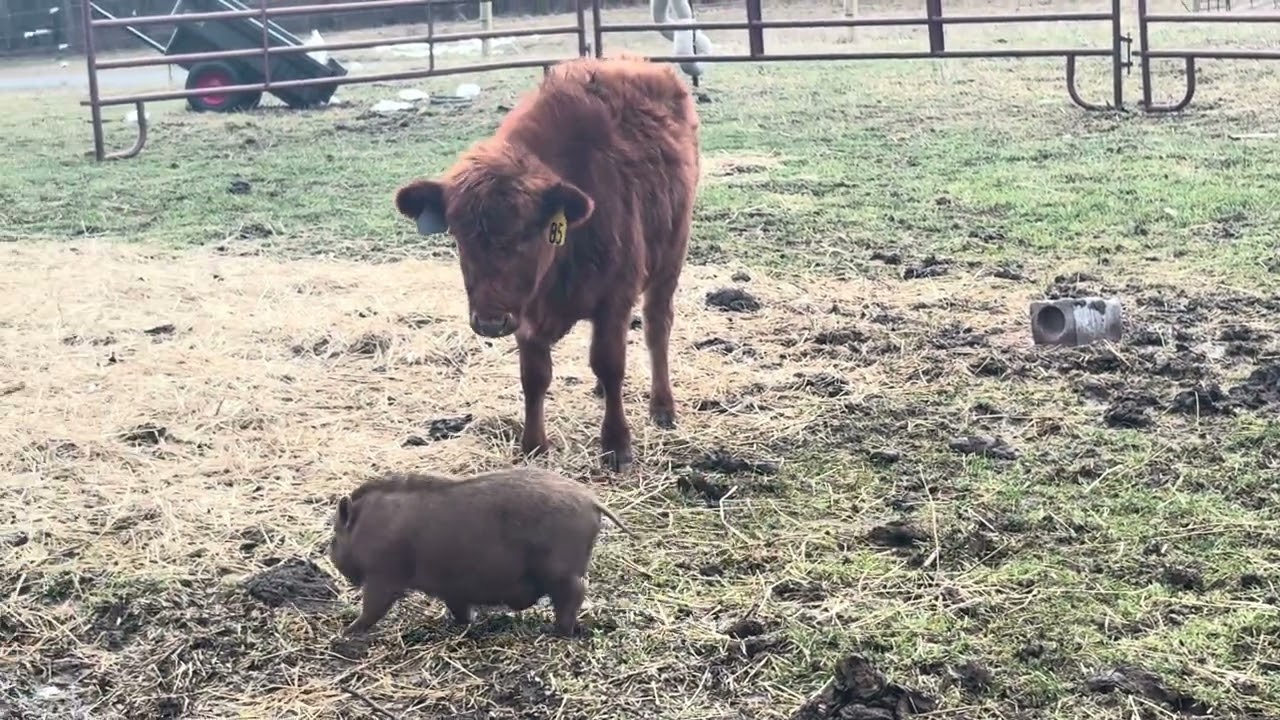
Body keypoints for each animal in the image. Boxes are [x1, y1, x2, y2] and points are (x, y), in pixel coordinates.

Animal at [327, 467, 635, 637]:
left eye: (334, 536)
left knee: (572, 597)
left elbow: (372, 609)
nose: (331, 554)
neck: (365, 526)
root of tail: (592, 500)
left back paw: (556, 632)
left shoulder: (382, 577)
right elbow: (461, 611)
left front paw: (344, 634)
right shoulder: (452, 589)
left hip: (562, 574)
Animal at [392, 55, 701, 472]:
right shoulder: (526, 317)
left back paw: (662, 406)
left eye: (528, 234)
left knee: (657, 327)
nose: (490, 323)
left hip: (670, 258)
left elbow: (610, 363)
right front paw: (533, 446)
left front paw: (616, 444)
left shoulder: (615, 299)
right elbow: (535, 377)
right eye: (458, 235)